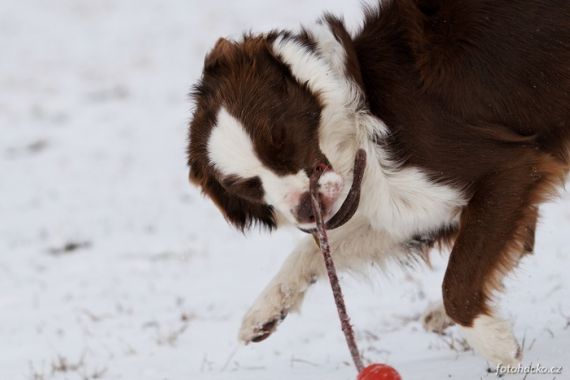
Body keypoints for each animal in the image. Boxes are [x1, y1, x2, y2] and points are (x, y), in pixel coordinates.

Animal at [187, 0, 568, 368]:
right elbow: (312, 250)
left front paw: (495, 342)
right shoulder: (417, 207)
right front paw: (264, 312)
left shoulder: (512, 168)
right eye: (247, 186)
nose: (306, 209)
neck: (363, 111)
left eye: (279, 142)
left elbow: (458, 280)